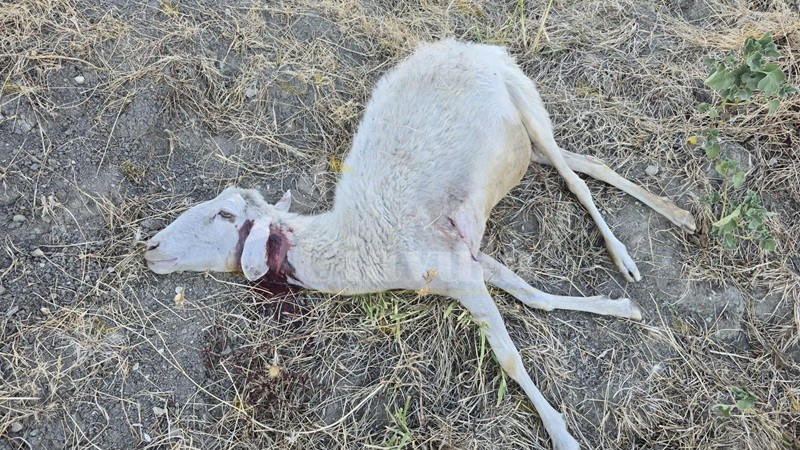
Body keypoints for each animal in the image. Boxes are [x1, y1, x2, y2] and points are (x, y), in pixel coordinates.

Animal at [144, 39, 696, 450]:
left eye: (223, 214)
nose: (149, 247)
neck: (357, 243)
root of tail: (473, 46)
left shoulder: (458, 273)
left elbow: (509, 358)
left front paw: (562, 436)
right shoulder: (468, 260)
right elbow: (531, 294)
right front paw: (618, 308)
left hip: (527, 102)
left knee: (576, 179)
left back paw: (626, 257)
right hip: (522, 142)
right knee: (588, 163)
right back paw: (682, 216)